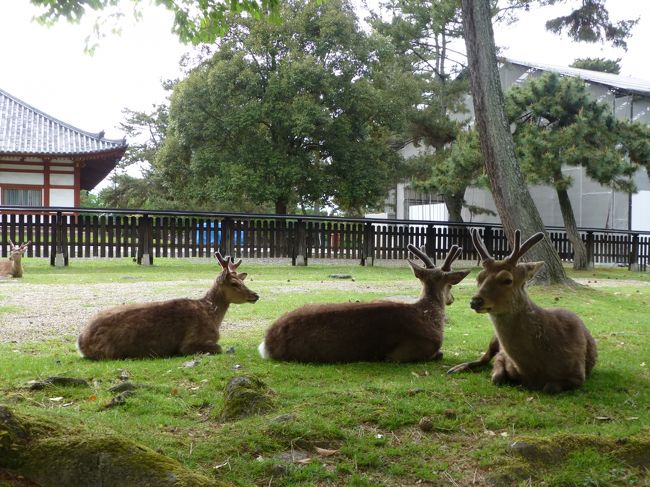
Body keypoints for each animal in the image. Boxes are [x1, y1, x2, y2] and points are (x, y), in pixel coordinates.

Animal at [77, 252, 259, 360]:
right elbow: (219, 347)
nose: (256, 295)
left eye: (242, 280)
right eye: (234, 283)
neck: (212, 316)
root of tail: (81, 341)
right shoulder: (192, 342)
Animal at [258, 244, 470, 363]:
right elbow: (438, 354)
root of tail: (267, 343)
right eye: (451, 284)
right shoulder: (405, 352)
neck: (429, 315)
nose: (452, 299)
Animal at [447, 229, 597, 393]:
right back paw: (456, 368)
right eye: (479, 278)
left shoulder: (578, 373)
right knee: (484, 357)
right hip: (493, 338)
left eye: (507, 279)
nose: (475, 301)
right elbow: (496, 377)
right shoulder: (502, 356)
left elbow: (550, 387)